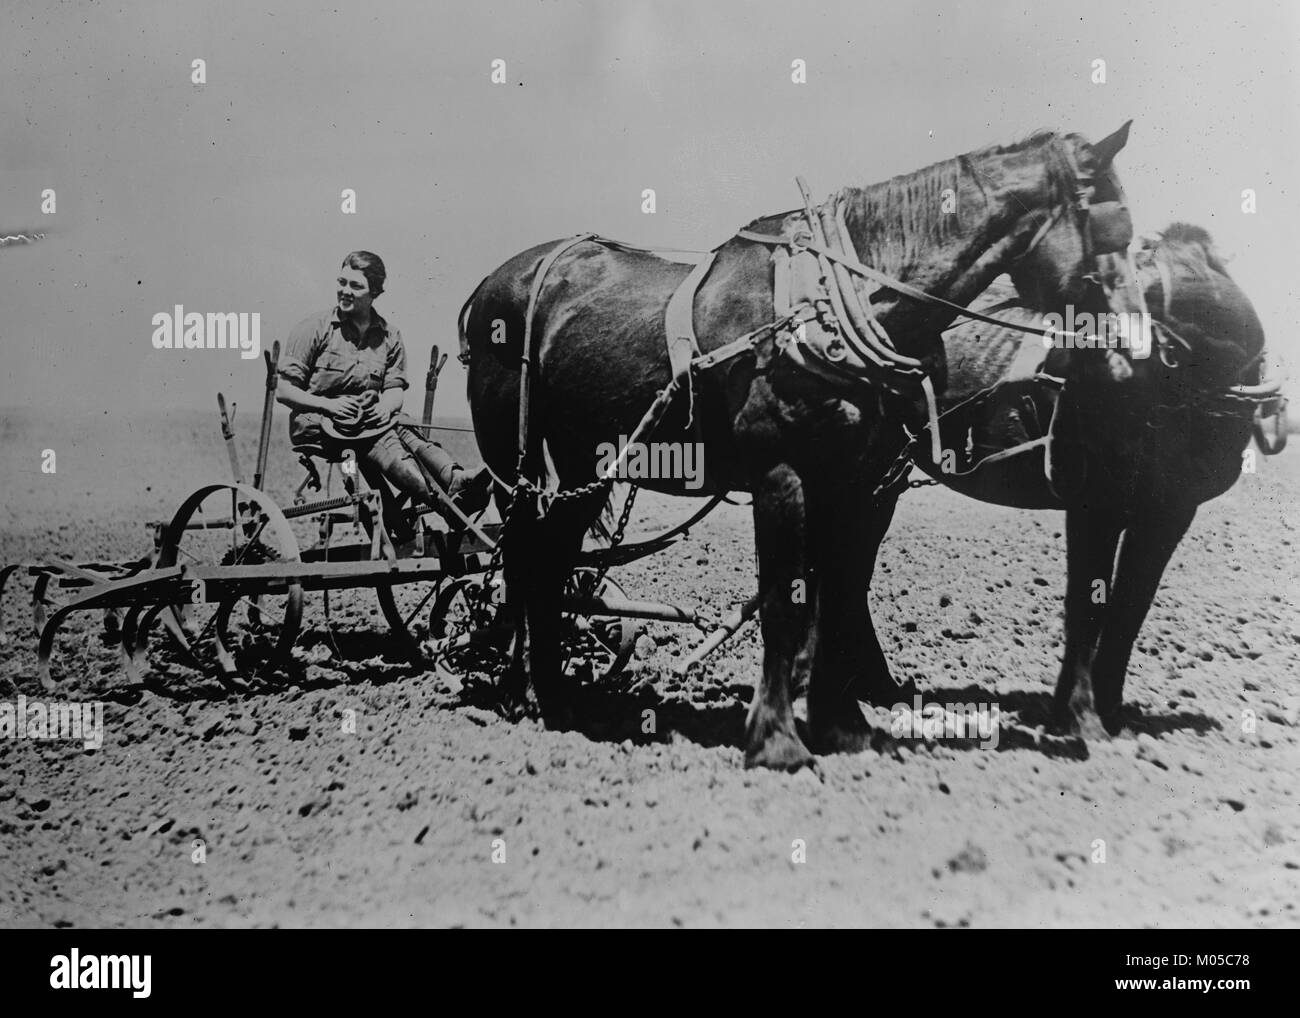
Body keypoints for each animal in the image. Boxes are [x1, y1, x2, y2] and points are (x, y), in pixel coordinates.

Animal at [462, 123, 1133, 769]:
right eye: (1113, 236)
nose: (1127, 358)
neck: (832, 307)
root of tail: (493, 283)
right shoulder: (781, 472)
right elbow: (787, 605)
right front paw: (777, 741)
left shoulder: (853, 482)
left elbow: (833, 598)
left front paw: (844, 727)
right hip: (513, 459)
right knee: (520, 556)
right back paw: (521, 691)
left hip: (583, 457)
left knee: (550, 556)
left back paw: (553, 697)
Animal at [899, 223, 1274, 738]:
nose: (1041, 389)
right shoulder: (1095, 504)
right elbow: (1087, 604)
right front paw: (1076, 713)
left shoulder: (1170, 512)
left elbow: (1130, 606)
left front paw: (1110, 707)